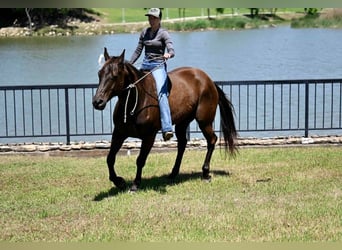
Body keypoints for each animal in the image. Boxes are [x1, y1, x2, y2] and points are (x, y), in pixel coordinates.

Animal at [93, 47, 238, 192]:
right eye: (99, 73)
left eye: (115, 75)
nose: (97, 102)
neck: (137, 100)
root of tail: (209, 81)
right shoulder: (119, 133)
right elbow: (110, 158)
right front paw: (119, 181)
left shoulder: (149, 137)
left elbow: (140, 160)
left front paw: (135, 184)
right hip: (182, 123)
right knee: (182, 144)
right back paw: (173, 173)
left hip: (204, 121)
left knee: (212, 140)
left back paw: (206, 173)